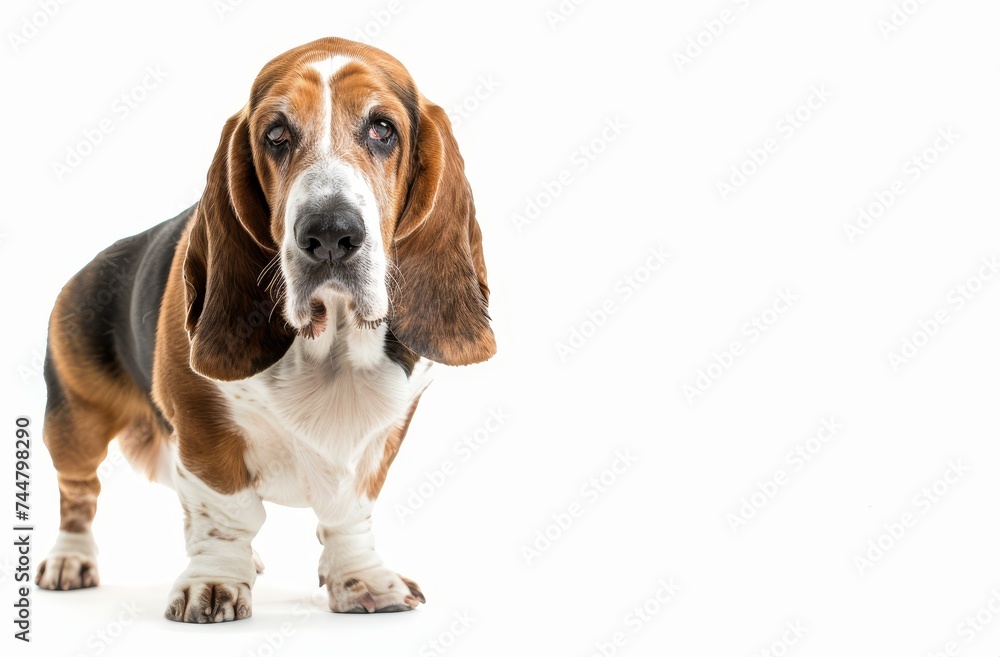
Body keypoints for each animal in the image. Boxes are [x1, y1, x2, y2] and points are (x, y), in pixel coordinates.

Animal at [35, 36, 496, 620]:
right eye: (276, 134)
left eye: (382, 129)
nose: (330, 232)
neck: (332, 346)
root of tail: (88, 266)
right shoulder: (202, 427)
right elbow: (226, 513)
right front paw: (213, 583)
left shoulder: (384, 436)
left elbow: (350, 512)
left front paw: (363, 579)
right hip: (77, 421)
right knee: (78, 491)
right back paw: (70, 560)